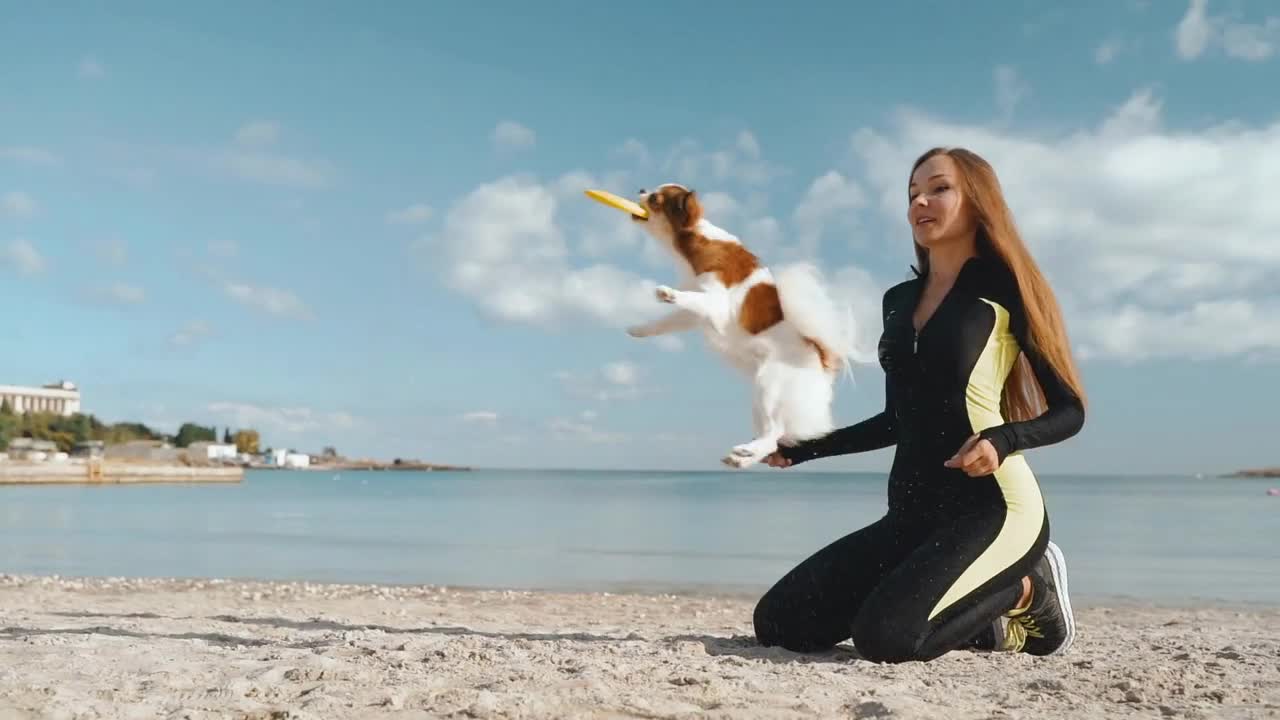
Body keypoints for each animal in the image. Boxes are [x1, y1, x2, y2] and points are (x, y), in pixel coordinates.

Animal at [627, 181, 875, 468]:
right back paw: (743, 458)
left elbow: (687, 298)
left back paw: (746, 451)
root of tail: (821, 359)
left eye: (655, 199)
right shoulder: (695, 314)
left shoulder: (717, 303)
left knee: (774, 432)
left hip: (768, 385)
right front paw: (639, 329)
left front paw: (666, 293)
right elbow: (665, 322)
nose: (641, 189)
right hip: (761, 397)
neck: (695, 240)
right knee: (774, 438)